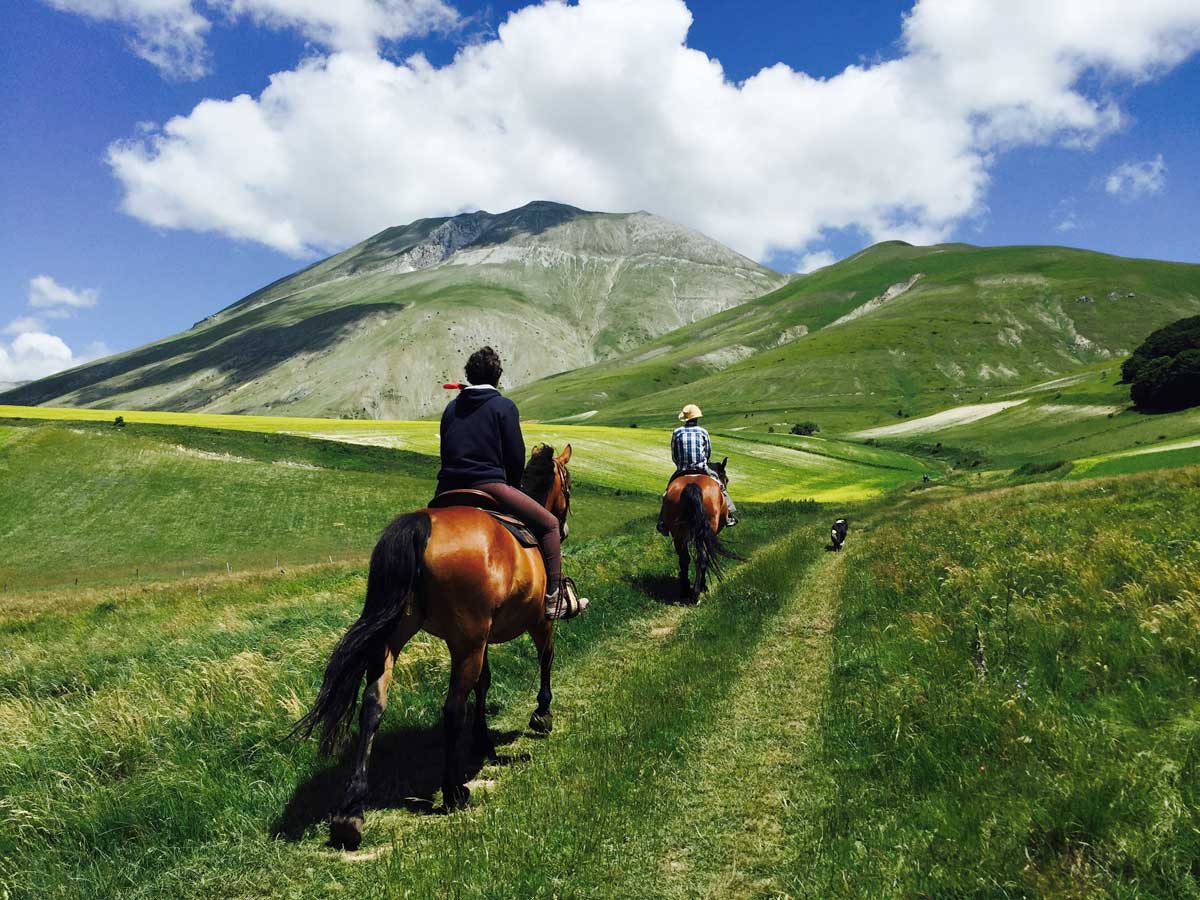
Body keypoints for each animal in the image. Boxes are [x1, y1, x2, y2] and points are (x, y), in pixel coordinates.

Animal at [292, 443, 573, 849]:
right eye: (569, 485)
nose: (563, 527)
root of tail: (420, 527)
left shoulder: (482, 638)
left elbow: (484, 684)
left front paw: (484, 743)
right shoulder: (537, 623)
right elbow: (545, 659)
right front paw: (542, 714)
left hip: (397, 638)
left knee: (373, 704)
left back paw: (351, 812)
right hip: (465, 640)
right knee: (452, 708)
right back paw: (453, 792)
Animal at [660, 457, 741, 603]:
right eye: (726, 479)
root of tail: (693, 485)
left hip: (678, 534)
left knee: (684, 559)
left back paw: (685, 591)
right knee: (702, 557)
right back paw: (697, 592)